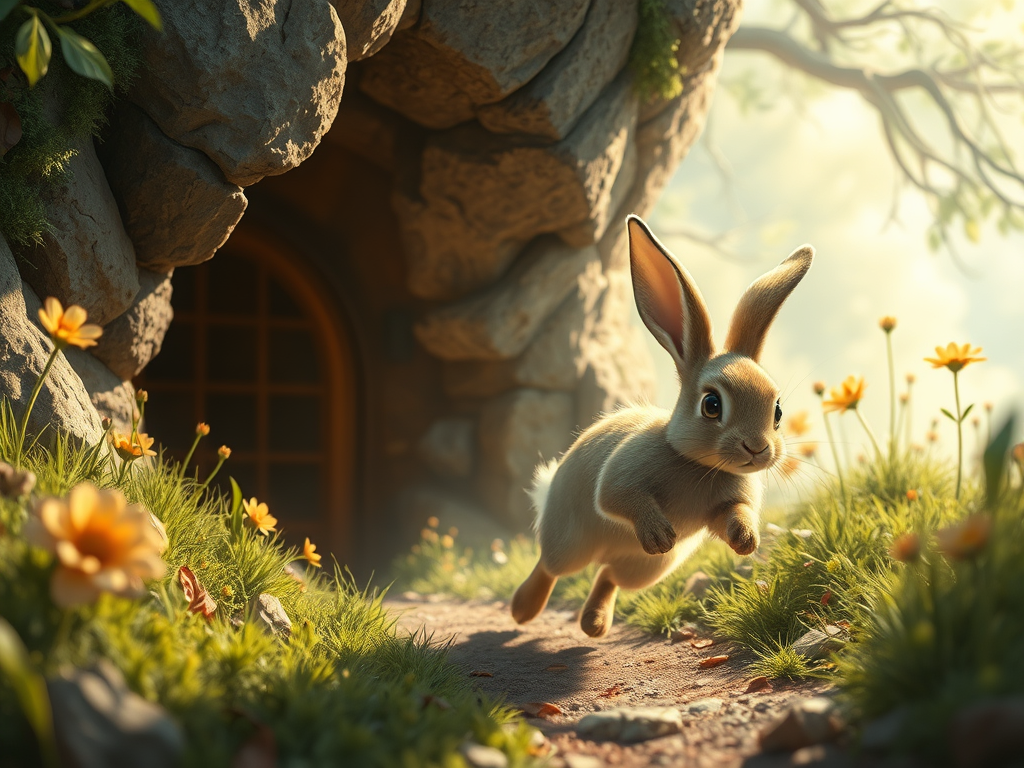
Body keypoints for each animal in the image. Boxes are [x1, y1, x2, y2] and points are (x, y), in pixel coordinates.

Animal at [510, 214, 814, 638]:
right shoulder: (621, 477)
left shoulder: (726, 505)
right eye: (712, 405)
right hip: (569, 542)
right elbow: (618, 498)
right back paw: (523, 610)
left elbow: (734, 514)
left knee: (608, 576)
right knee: (550, 566)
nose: (757, 449)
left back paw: (594, 624)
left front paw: (745, 541)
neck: (698, 465)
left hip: (646, 569)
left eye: (778, 412)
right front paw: (659, 533)